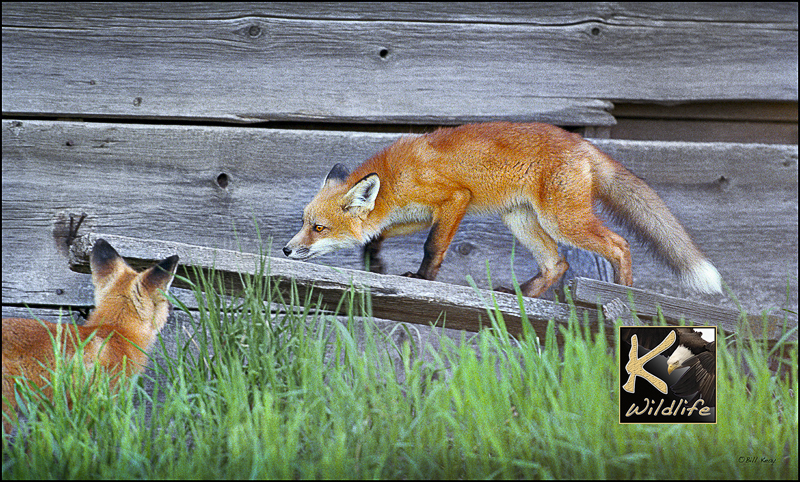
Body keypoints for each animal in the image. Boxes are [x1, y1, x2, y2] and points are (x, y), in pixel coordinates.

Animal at [283, 122, 722, 298]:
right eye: (304, 224)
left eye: (318, 228)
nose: (287, 249)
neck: (393, 179)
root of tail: (583, 144)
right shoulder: (418, 215)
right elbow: (377, 237)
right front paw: (374, 263)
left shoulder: (454, 200)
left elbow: (433, 248)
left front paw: (422, 277)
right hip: (521, 221)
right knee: (557, 264)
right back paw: (522, 294)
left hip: (562, 221)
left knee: (619, 245)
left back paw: (622, 291)